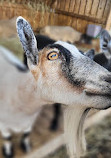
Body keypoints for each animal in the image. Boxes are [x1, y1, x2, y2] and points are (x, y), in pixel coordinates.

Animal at [1, 16, 111, 158]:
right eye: (52, 55)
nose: (109, 80)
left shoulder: (29, 122)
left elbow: (26, 134)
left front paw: (25, 147)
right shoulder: (3, 124)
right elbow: (7, 138)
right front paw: (8, 152)